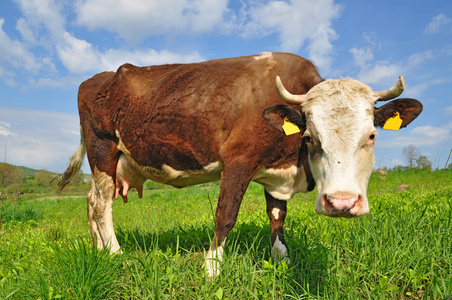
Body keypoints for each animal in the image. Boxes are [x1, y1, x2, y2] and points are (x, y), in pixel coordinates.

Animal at [58, 52, 422, 276]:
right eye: (310, 137)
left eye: (371, 135)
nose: (342, 203)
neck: (294, 164)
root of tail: (97, 79)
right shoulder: (238, 160)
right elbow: (226, 216)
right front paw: (211, 269)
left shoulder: (277, 174)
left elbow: (277, 219)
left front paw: (282, 262)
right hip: (102, 148)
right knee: (102, 205)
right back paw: (115, 253)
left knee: (91, 201)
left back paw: (98, 249)